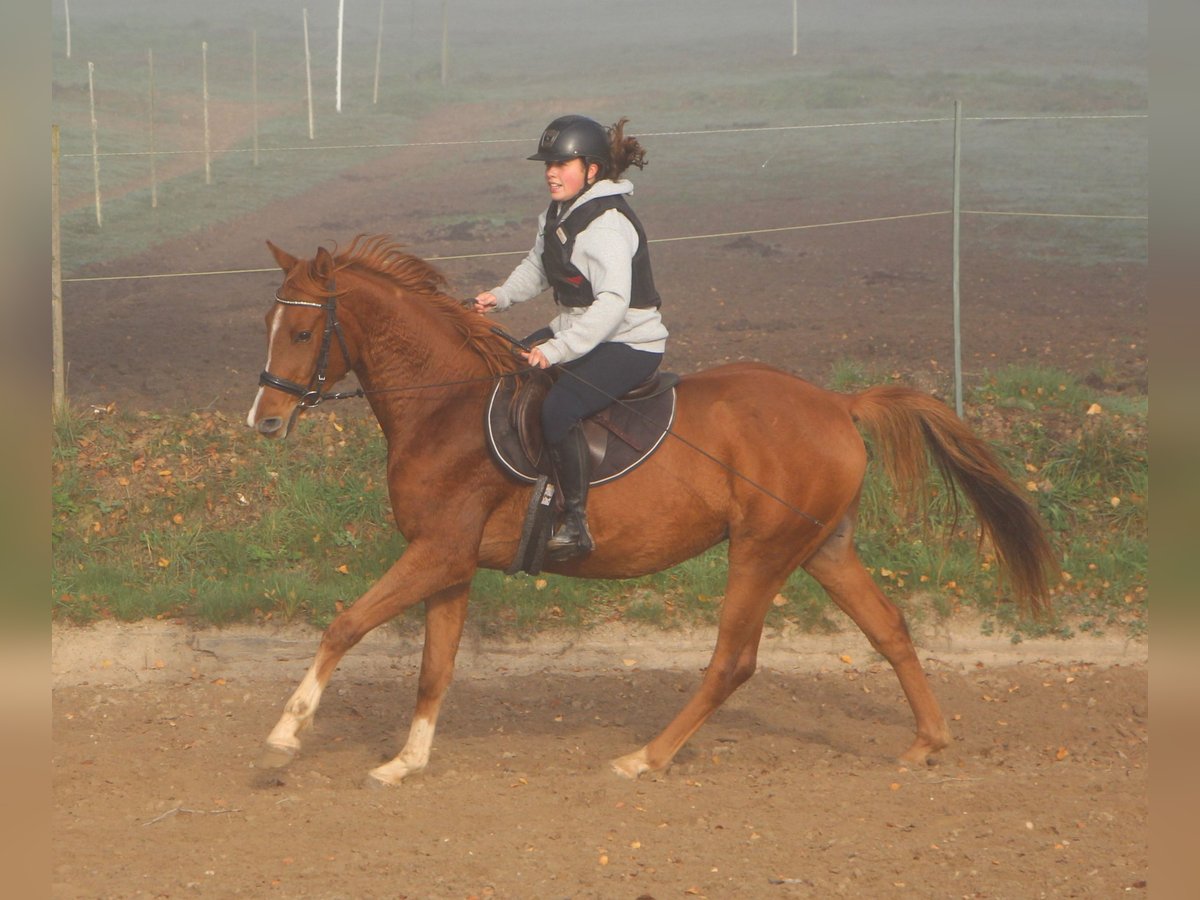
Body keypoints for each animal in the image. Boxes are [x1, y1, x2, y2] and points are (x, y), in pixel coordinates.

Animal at [250, 234, 1051, 787]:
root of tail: (835, 402)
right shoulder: (450, 562)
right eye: (269, 325)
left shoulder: (436, 553)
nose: (264, 420)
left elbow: (345, 624)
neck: (445, 405)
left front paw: (286, 734)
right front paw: (405, 762)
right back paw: (927, 741)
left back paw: (645, 758)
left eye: (302, 333)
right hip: (823, 547)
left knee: (733, 661)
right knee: (889, 628)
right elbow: (434, 667)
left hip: (760, 551)